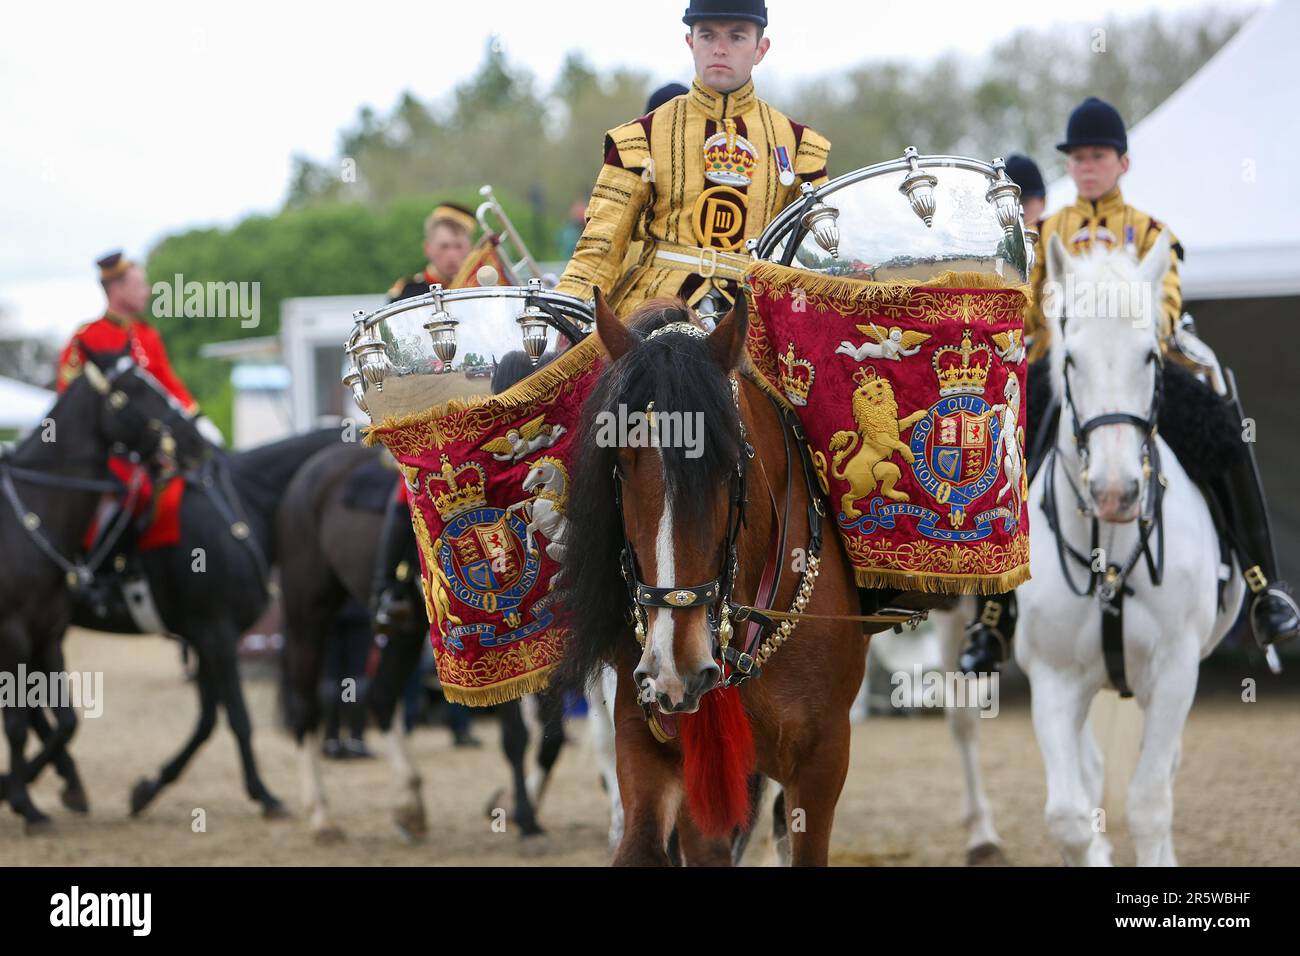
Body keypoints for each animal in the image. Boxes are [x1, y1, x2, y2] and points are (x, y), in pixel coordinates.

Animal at [0, 351, 205, 832]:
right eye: (132, 390)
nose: (194, 440)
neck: (27, 520)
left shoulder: (47, 638)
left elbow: (66, 721)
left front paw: (23, 789)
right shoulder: (13, 635)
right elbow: (17, 723)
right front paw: (23, 801)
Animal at [279, 348, 595, 842]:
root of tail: (308, 473)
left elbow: (555, 735)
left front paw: (517, 806)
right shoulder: (504, 638)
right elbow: (518, 734)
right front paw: (523, 816)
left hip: (409, 630)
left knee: (382, 697)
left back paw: (409, 805)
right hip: (308, 612)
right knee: (305, 704)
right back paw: (321, 815)